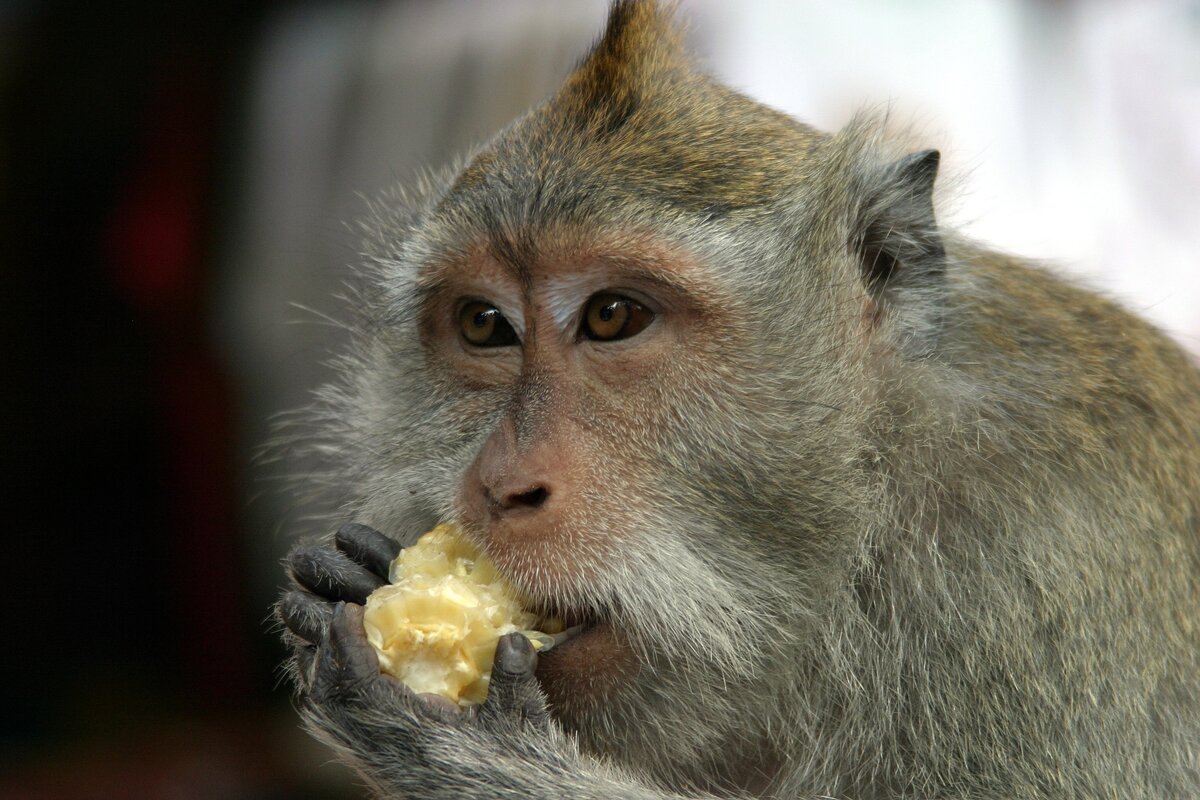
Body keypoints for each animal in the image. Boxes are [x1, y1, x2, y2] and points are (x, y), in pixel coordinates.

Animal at [276, 3, 1200, 796]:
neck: (872, 503)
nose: (503, 486)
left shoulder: (1036, 576)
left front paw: (468, 758)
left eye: (613, 316)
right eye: (484, 324)